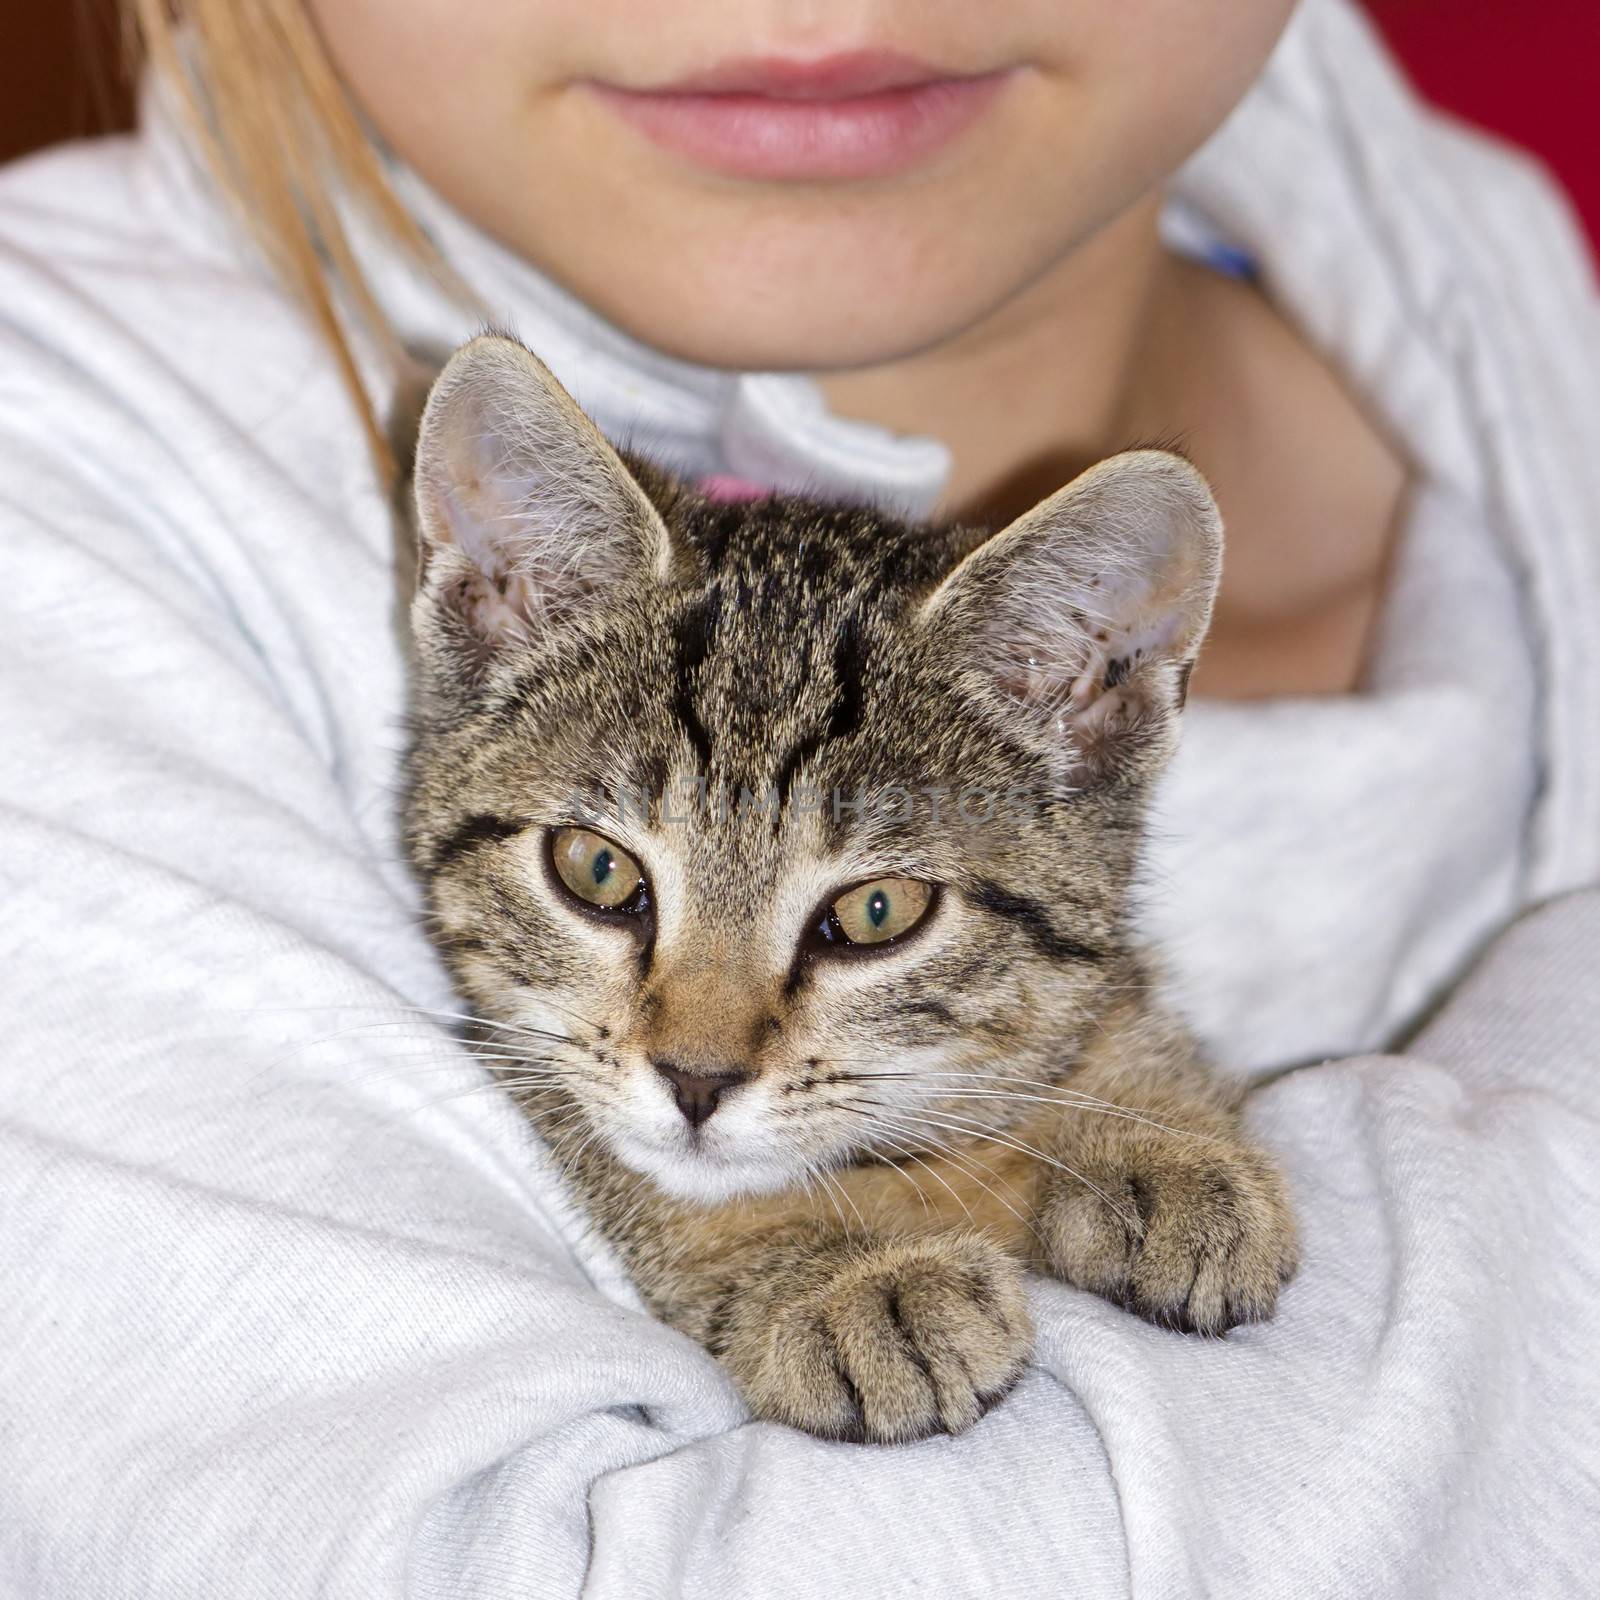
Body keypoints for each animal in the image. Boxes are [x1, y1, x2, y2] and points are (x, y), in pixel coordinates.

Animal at [403, 331, 1299, 1446]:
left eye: (875, 912)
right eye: (597, 870)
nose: (696, 1082)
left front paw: (1161, 1143)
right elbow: (639, 1172)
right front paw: (843, 1281)